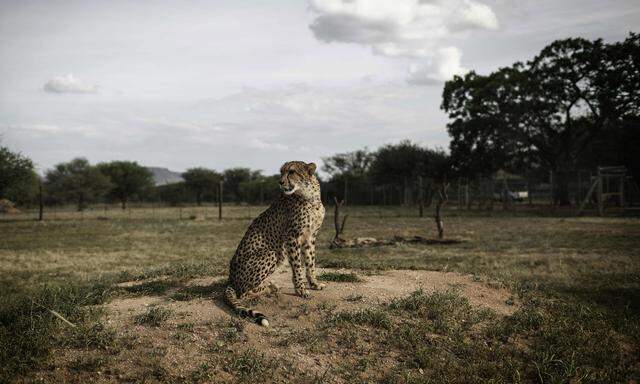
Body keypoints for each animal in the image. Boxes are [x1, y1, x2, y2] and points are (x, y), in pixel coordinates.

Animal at [225, 160, 324, 326]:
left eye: (291, 172)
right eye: (281, 172)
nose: (280, 182)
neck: (309, 196)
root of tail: (230, 279)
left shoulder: (310, 237)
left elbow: (311, 263)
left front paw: (314, 284)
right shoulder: (292, 237)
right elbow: (297, 267)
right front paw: (301, 290)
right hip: (273, 253)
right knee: (243, 294)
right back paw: (270, 288)